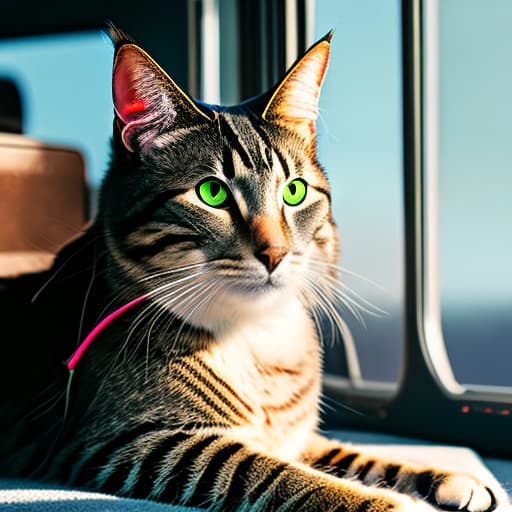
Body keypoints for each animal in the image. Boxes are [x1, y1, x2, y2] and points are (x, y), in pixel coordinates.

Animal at [0, 31, 500, 512]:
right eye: (212, 193)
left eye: (295, 192)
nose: (275, 253)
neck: (256, 334)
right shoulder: (128, 441)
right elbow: (280, 474)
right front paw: (388, 504)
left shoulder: (298, 437)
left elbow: (358, 455)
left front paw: (446, 477)